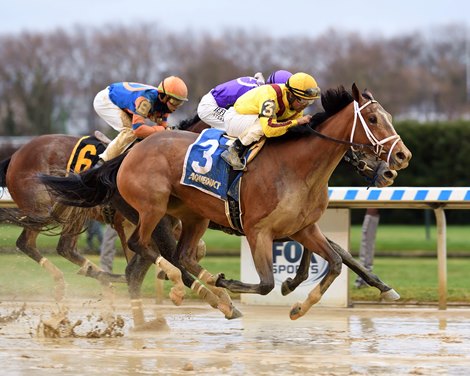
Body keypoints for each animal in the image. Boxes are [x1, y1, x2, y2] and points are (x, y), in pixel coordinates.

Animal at [39, 84, 412, 320]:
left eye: (390, 117)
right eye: (373, 119)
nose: (400, 160)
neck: (297, 167)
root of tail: (128, 154)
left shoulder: (302, 227)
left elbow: (335, 261)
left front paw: (300, 304)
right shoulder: (259, 231)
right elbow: (267, 283)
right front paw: (238, 283)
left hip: (193, 216)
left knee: (174, 258)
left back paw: (206, 299)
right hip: (152, 211)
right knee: (145, 250)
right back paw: (194, 291)